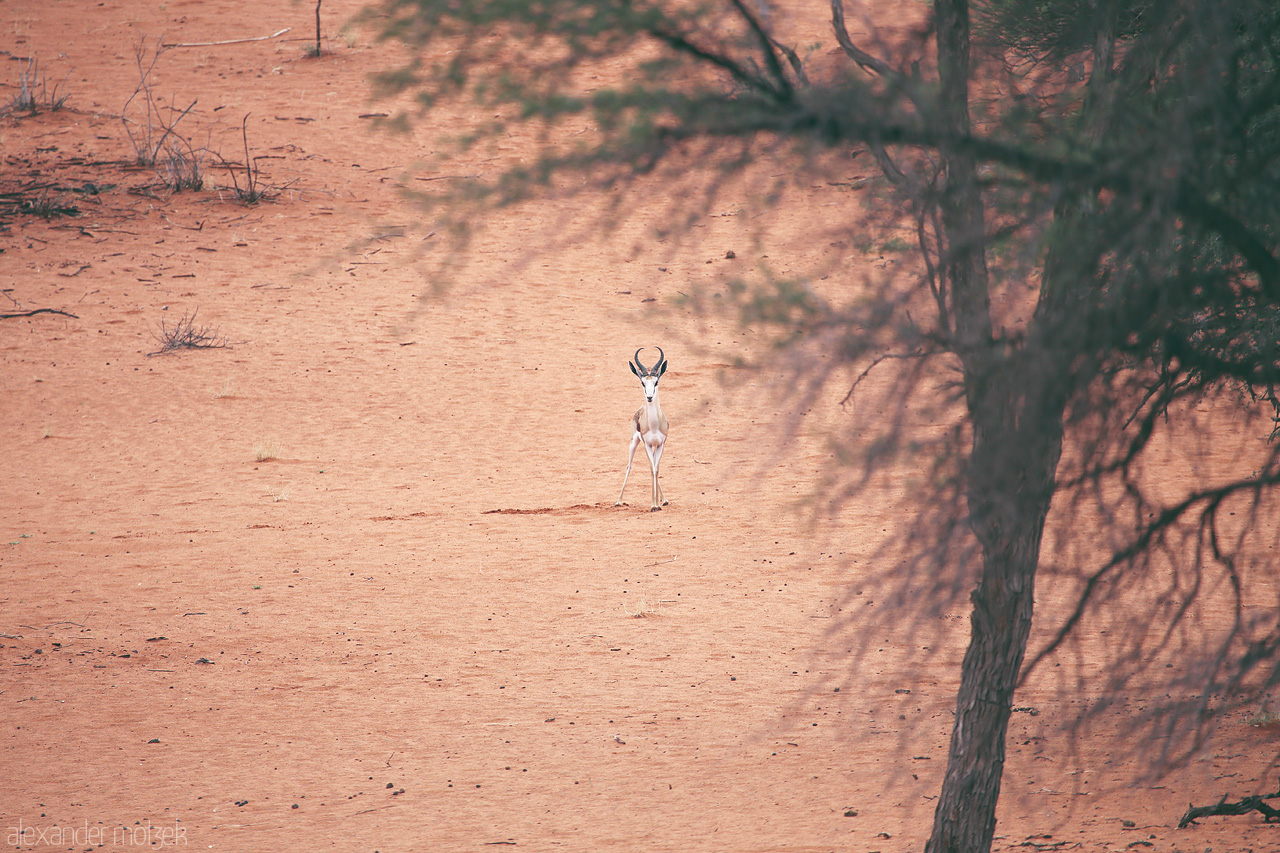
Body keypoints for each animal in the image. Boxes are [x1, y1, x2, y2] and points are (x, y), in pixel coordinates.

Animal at [616, 347, 669, 511]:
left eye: (656, 382)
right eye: (643, 383)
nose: (649, 397)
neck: (654, 426)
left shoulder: (660, 444)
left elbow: (656, 469)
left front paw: (658, 504)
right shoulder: (647, 444)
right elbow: (651, 469)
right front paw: (653, 505)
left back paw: (664, 500)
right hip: (634, 443)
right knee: (629, 465)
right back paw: (618, 501)